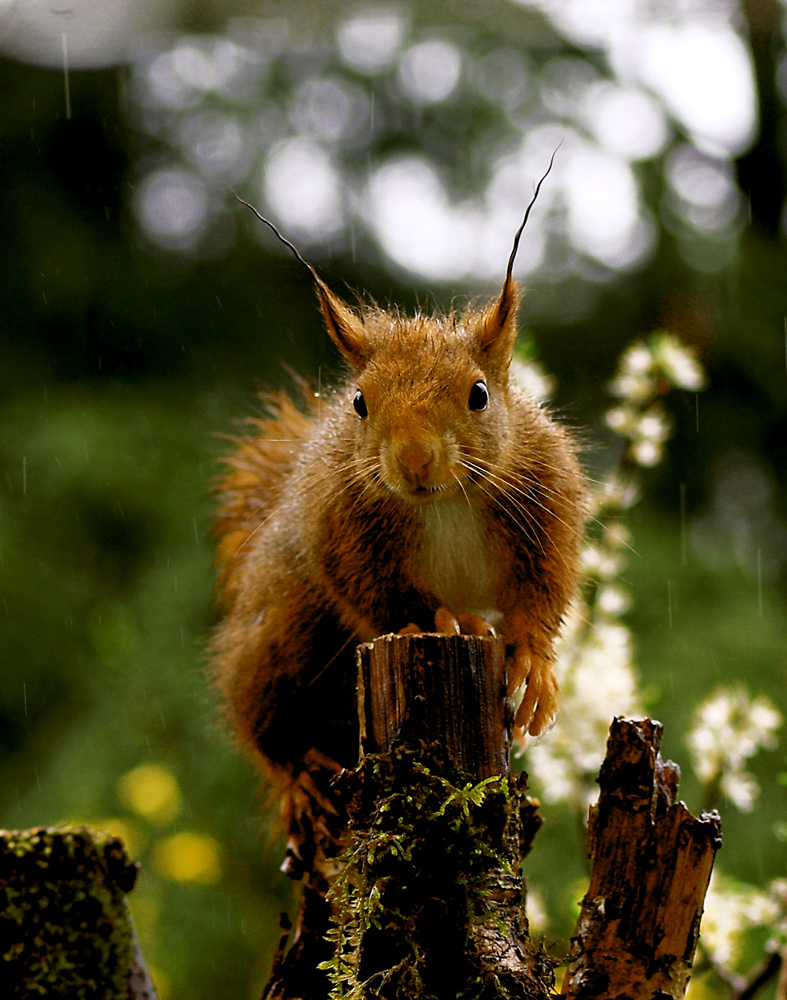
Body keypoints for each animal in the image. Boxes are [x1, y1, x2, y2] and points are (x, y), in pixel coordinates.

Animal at [212, 178, 588, 860]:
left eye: (480, 394)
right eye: (360, 403)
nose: (413, 459)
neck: (441, 503)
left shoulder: (547, 503)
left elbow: (544, 591)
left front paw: (533, 664)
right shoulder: (339, 525)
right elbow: (374, 590)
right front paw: (435, 620)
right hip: (283, 636)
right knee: (264, 723)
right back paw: (298, 779)